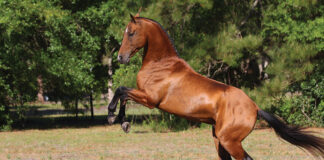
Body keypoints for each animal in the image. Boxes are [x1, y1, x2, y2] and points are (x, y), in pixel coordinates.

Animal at [108, 13, 324, 160]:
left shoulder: (150, 99)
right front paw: (122, 122)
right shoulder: (143, 95)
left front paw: (113, 117)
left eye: (131, 33)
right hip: (219, 140)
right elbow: (123, 94)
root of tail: (255, 108)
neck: (161, 64)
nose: (120, 58)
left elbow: (121, 90)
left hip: (229, 141)